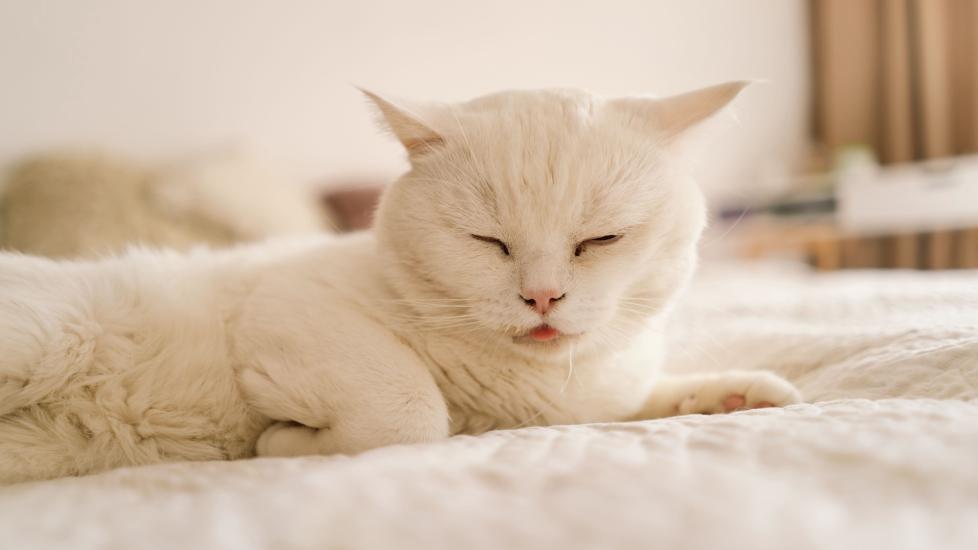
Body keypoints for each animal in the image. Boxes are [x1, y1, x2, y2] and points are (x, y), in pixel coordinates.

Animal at [0, 83, 796, 488]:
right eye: (489, 242)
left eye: (599, 240)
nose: (542, 297)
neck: (534, 388)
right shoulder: (289, 304)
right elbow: (411, 411)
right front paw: (283, 443)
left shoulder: (592, 402)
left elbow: (644, 402)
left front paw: (740, 394)